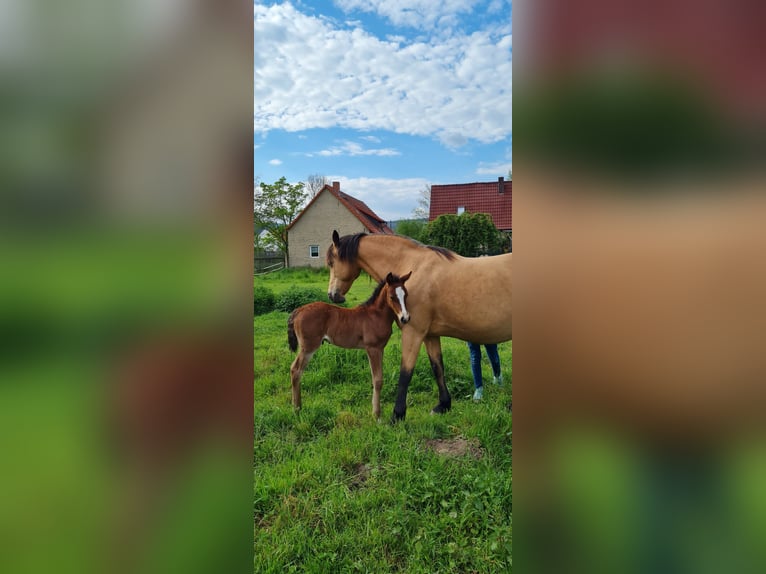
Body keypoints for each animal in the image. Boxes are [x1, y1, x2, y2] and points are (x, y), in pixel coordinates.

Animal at [328, 230, 512, 424]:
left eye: (331, 262)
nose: (333, 295)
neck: (411, 264)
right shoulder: (430, 335)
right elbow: (437, 367)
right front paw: (443, 405)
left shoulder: (413, 332)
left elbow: (405, 373)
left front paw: (397, 415)